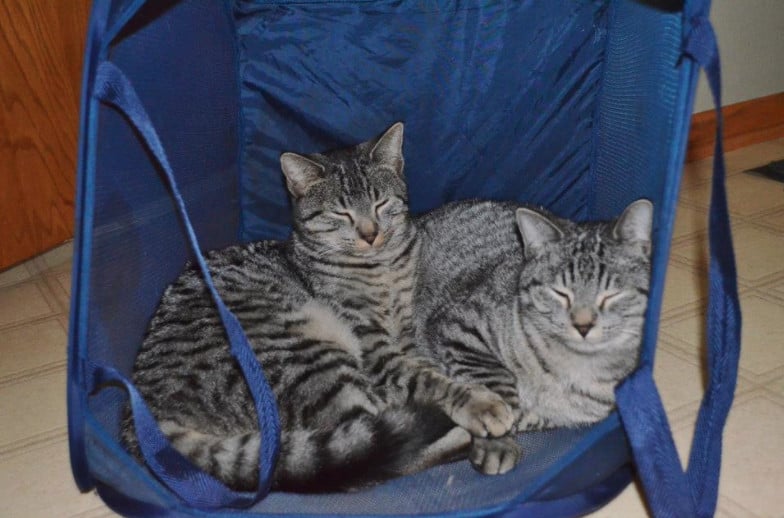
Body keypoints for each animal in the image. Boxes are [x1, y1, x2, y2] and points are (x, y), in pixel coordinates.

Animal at [122, 125, 516, 496]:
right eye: (340, 213)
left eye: (380, 203)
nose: (370, 234)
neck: (381, 268)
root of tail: (141, 421)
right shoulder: (375, 350)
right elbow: (427, 380)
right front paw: (479, 403)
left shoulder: (407, 335)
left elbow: (425, 366)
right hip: (306, 354)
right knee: (373, 441)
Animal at [414, 201, 652, 478]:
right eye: (560, 293)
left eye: (611, 294)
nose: (583, 325)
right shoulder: (459, 325)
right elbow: (497, 387)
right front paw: (497, 441)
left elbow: (526, 416)